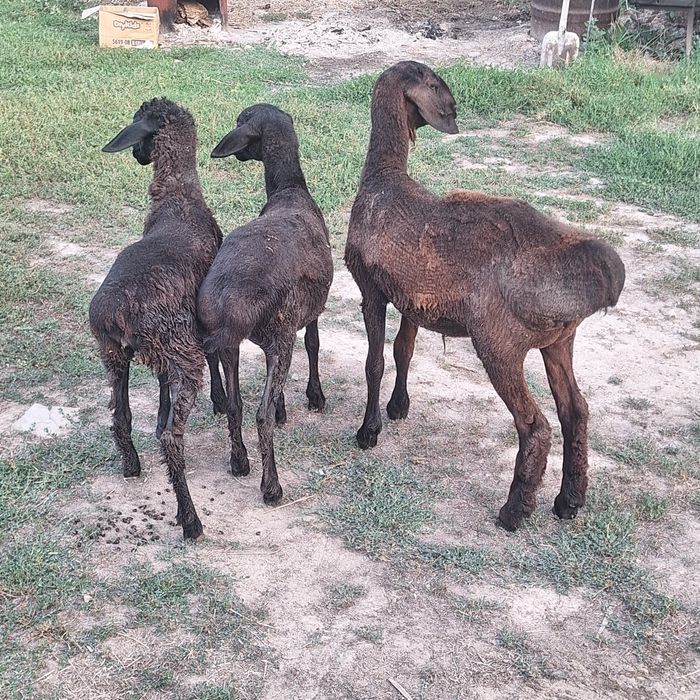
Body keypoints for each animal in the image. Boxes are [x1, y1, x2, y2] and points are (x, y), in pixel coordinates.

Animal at [89, 97, 224, 540]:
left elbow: (161, 387)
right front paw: (220, 401)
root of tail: (116, 311)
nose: (136, 154)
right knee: (171, 439)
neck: (178, 197)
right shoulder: (196, 325)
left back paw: (131, 466)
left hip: (114, 353)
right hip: (180, 351)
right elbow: (215, 355)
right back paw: (190, 520)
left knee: (120, 418)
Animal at [198, 103, 333, 505]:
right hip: (279, 335)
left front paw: (286, 405)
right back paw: (271, 486)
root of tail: (231, 304)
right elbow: (314, 344)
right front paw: (314, 397)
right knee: (260, 414)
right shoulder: (308, 314)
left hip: (229, 344)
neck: (290, 189)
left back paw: (239, 461)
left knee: (235, 404)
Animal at [344, 61, 625, 531]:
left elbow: (374, 362)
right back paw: (569, 501)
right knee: (576, 411)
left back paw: (515, 510)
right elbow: (403, 351)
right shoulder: (413, 299)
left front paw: (368, 432)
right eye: (434, 83)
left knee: (535, 425)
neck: (384, 179)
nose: (456, 111)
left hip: (500, 342)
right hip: (558, 341)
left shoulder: (371, 289)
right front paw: (398, 407)